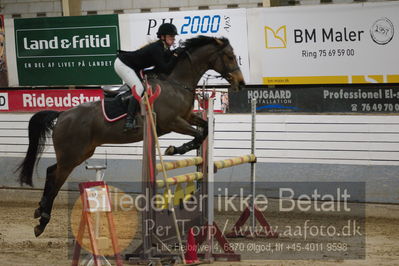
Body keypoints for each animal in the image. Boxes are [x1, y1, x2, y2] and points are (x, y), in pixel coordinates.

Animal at [16, 35, 247, 237]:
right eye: (229, 56)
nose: (241, 83)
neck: (177, 83)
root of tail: (62, 114)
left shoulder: (187, 116)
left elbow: (205, 129)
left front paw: (179, 148)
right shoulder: (172, 122)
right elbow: (198, 134)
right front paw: (175, 149)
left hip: (80, 153)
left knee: (50, 171)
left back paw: (39, 210)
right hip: (71, 155)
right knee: (56, 179)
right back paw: (42, 220)